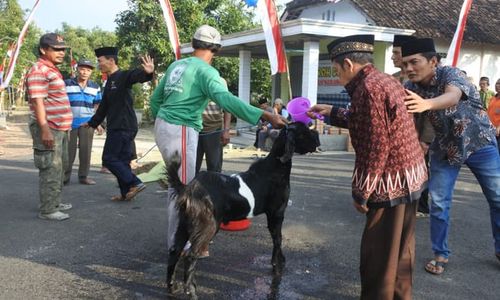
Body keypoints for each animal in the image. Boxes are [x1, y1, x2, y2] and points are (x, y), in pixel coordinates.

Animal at [166, 121, 318, 298]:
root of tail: (189, 188)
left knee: (175, 250)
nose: (317, 137)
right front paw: (278, 265)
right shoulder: (277, 213)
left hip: (184, 224)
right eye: (304, 131)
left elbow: (276, 238)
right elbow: (278, 239)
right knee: (190, 256)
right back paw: (191, 291)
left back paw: (171, 287)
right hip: (207, 225)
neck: (276, 165)